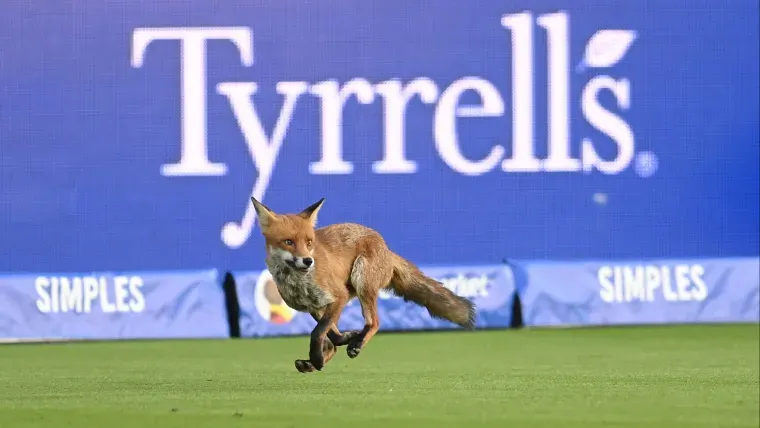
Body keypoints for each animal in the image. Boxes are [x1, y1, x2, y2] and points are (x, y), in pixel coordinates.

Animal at [250, 196, 477, 373]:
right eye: (288, 242)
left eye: (309, 242)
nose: (308, 261)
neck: (298, 282)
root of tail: (385, 246)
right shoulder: (315, 306)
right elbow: (330, 335)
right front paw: (334, 346)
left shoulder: (338, 296)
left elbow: (318, 332)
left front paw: (320, 355)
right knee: (335, 343)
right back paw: (319, 359)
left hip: (362, 282)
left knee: (374, 322)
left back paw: (353, 345)